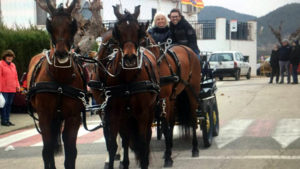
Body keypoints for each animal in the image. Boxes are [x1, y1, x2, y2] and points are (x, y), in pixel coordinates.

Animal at [26, 0, 86, 168]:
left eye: (72, 24)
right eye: (50, 24)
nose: (61, 53)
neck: (60, 80)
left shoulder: (73, 117)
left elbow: (71, 152)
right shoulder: (45, 116)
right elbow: (47, 150)